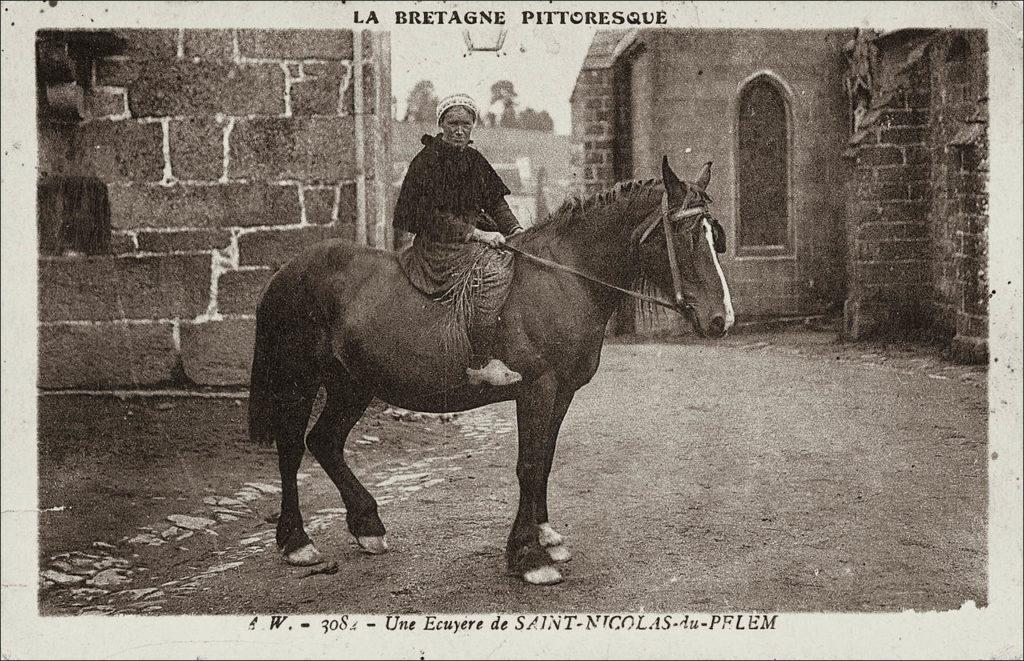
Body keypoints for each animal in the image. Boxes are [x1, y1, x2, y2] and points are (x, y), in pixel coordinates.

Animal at [246, 157, 733, 589]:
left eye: (714, 235)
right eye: (688, 235)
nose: (721, 319)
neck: (565, 278)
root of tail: (286, 272)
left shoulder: (562, 393)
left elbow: (545, 459)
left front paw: (544, 536)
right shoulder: (537, 389)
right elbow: (529, 465)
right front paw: (529, 557)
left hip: (353, 384)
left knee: (324, 442)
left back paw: (367, 525)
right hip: (299, 381)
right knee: (292, 449)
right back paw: (297, 542)